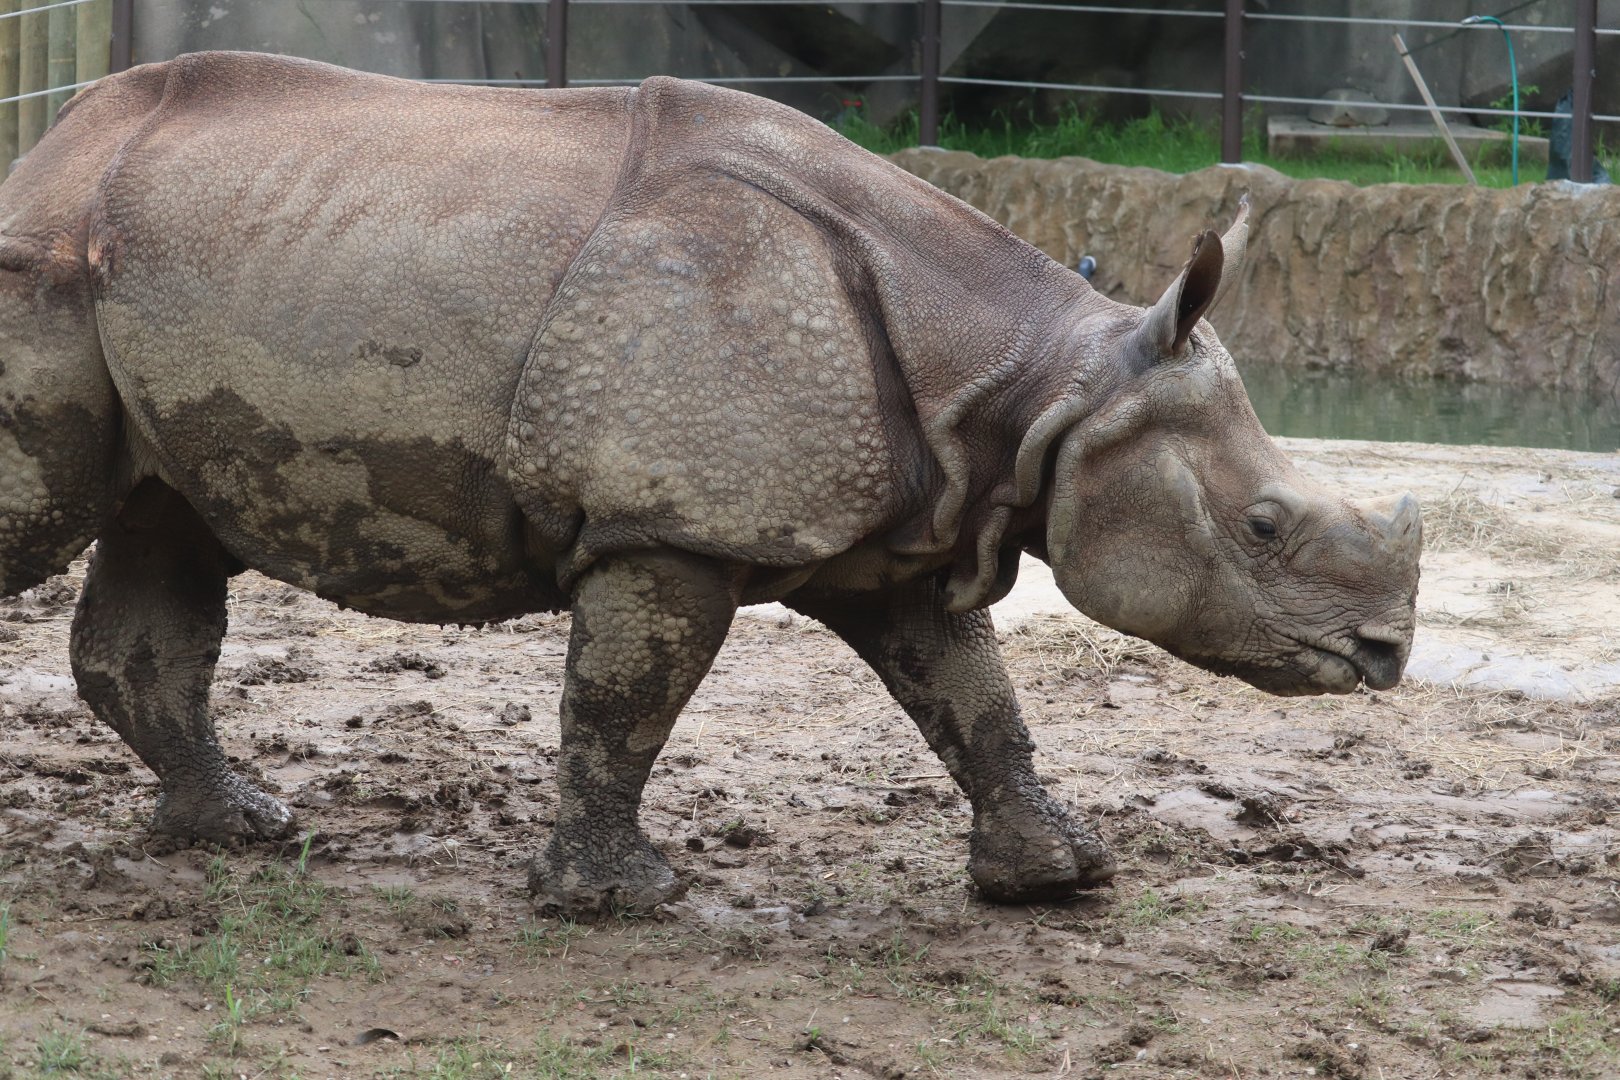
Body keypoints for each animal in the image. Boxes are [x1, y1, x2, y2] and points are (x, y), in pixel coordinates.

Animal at [0, 52, 1420, 914]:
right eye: (1262, 526)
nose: (1388, 652)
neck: (1039, 389)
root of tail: (54, 139)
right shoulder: (667, 522)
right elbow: (627, 699)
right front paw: (621, 900)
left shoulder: (909, 523)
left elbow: (969, 694)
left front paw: (1058, 877)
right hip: (50, 262)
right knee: (54, 516)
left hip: (168, 258)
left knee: (164, 528)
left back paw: (246, 831)